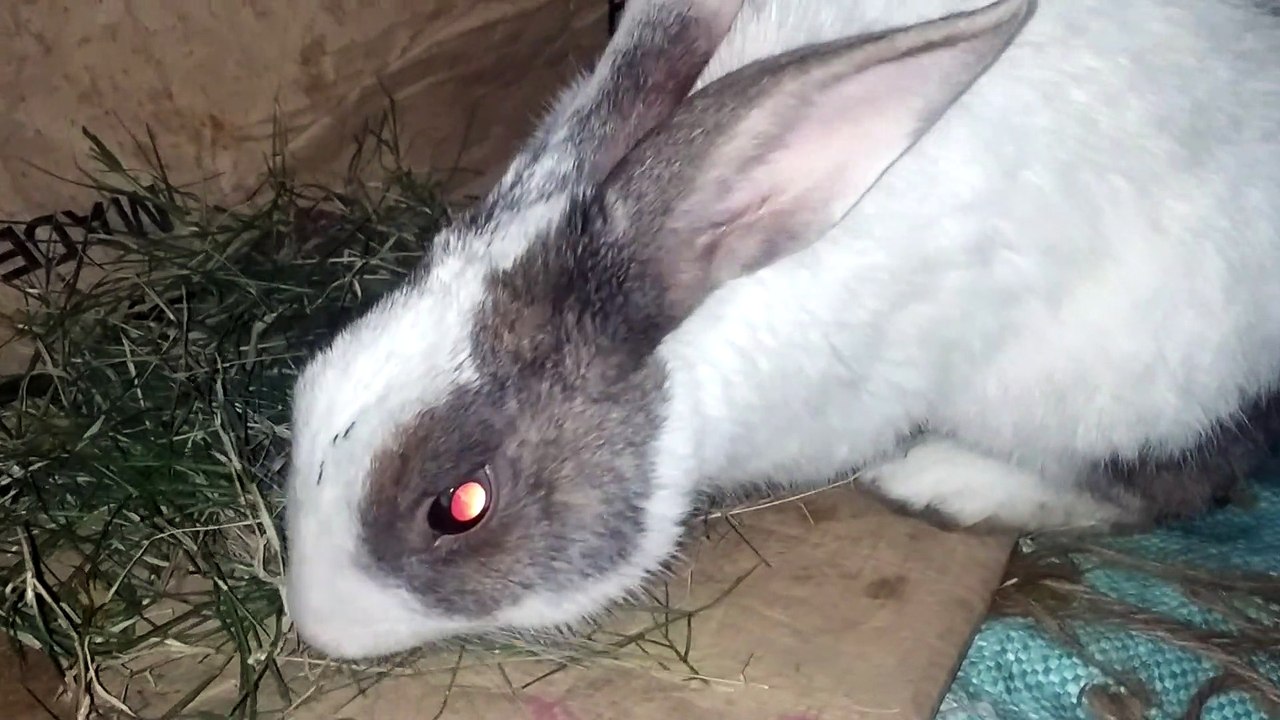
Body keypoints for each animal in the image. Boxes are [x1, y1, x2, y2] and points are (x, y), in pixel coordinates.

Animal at [282, 0, 1280, 661]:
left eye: (459, 506)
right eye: (303, 389)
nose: (317, 625)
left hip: (1108, 382)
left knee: (1172, 485)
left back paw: (942, 480)